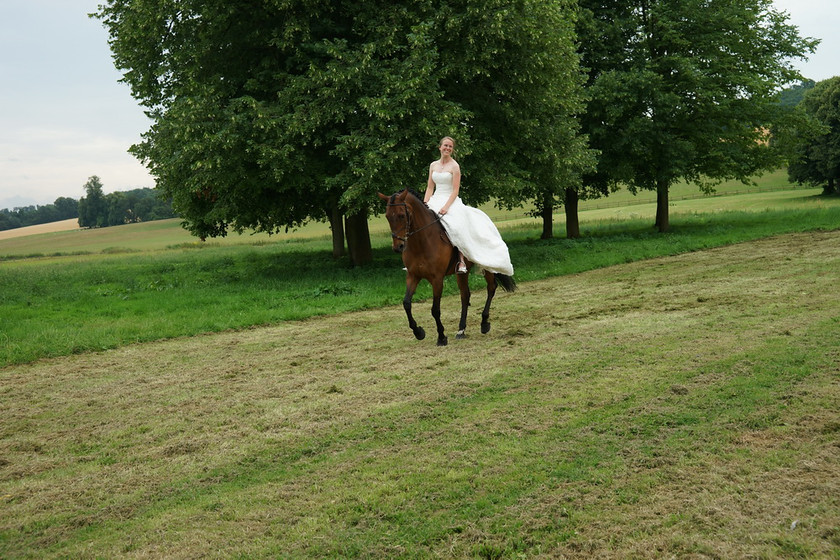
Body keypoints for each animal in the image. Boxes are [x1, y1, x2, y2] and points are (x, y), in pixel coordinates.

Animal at [378, 189, 516, 346]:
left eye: (401, 215)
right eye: (387, 216)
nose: (398, 247)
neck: (421, 241)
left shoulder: (437, 279)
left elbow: (435, 309)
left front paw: (441, 337)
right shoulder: (413, 276)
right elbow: (406, 303)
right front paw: (418, 332)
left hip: (487, 265)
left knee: (491, 288)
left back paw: (484, 323)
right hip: (462, 273)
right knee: (465, 295)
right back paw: (461, 330)